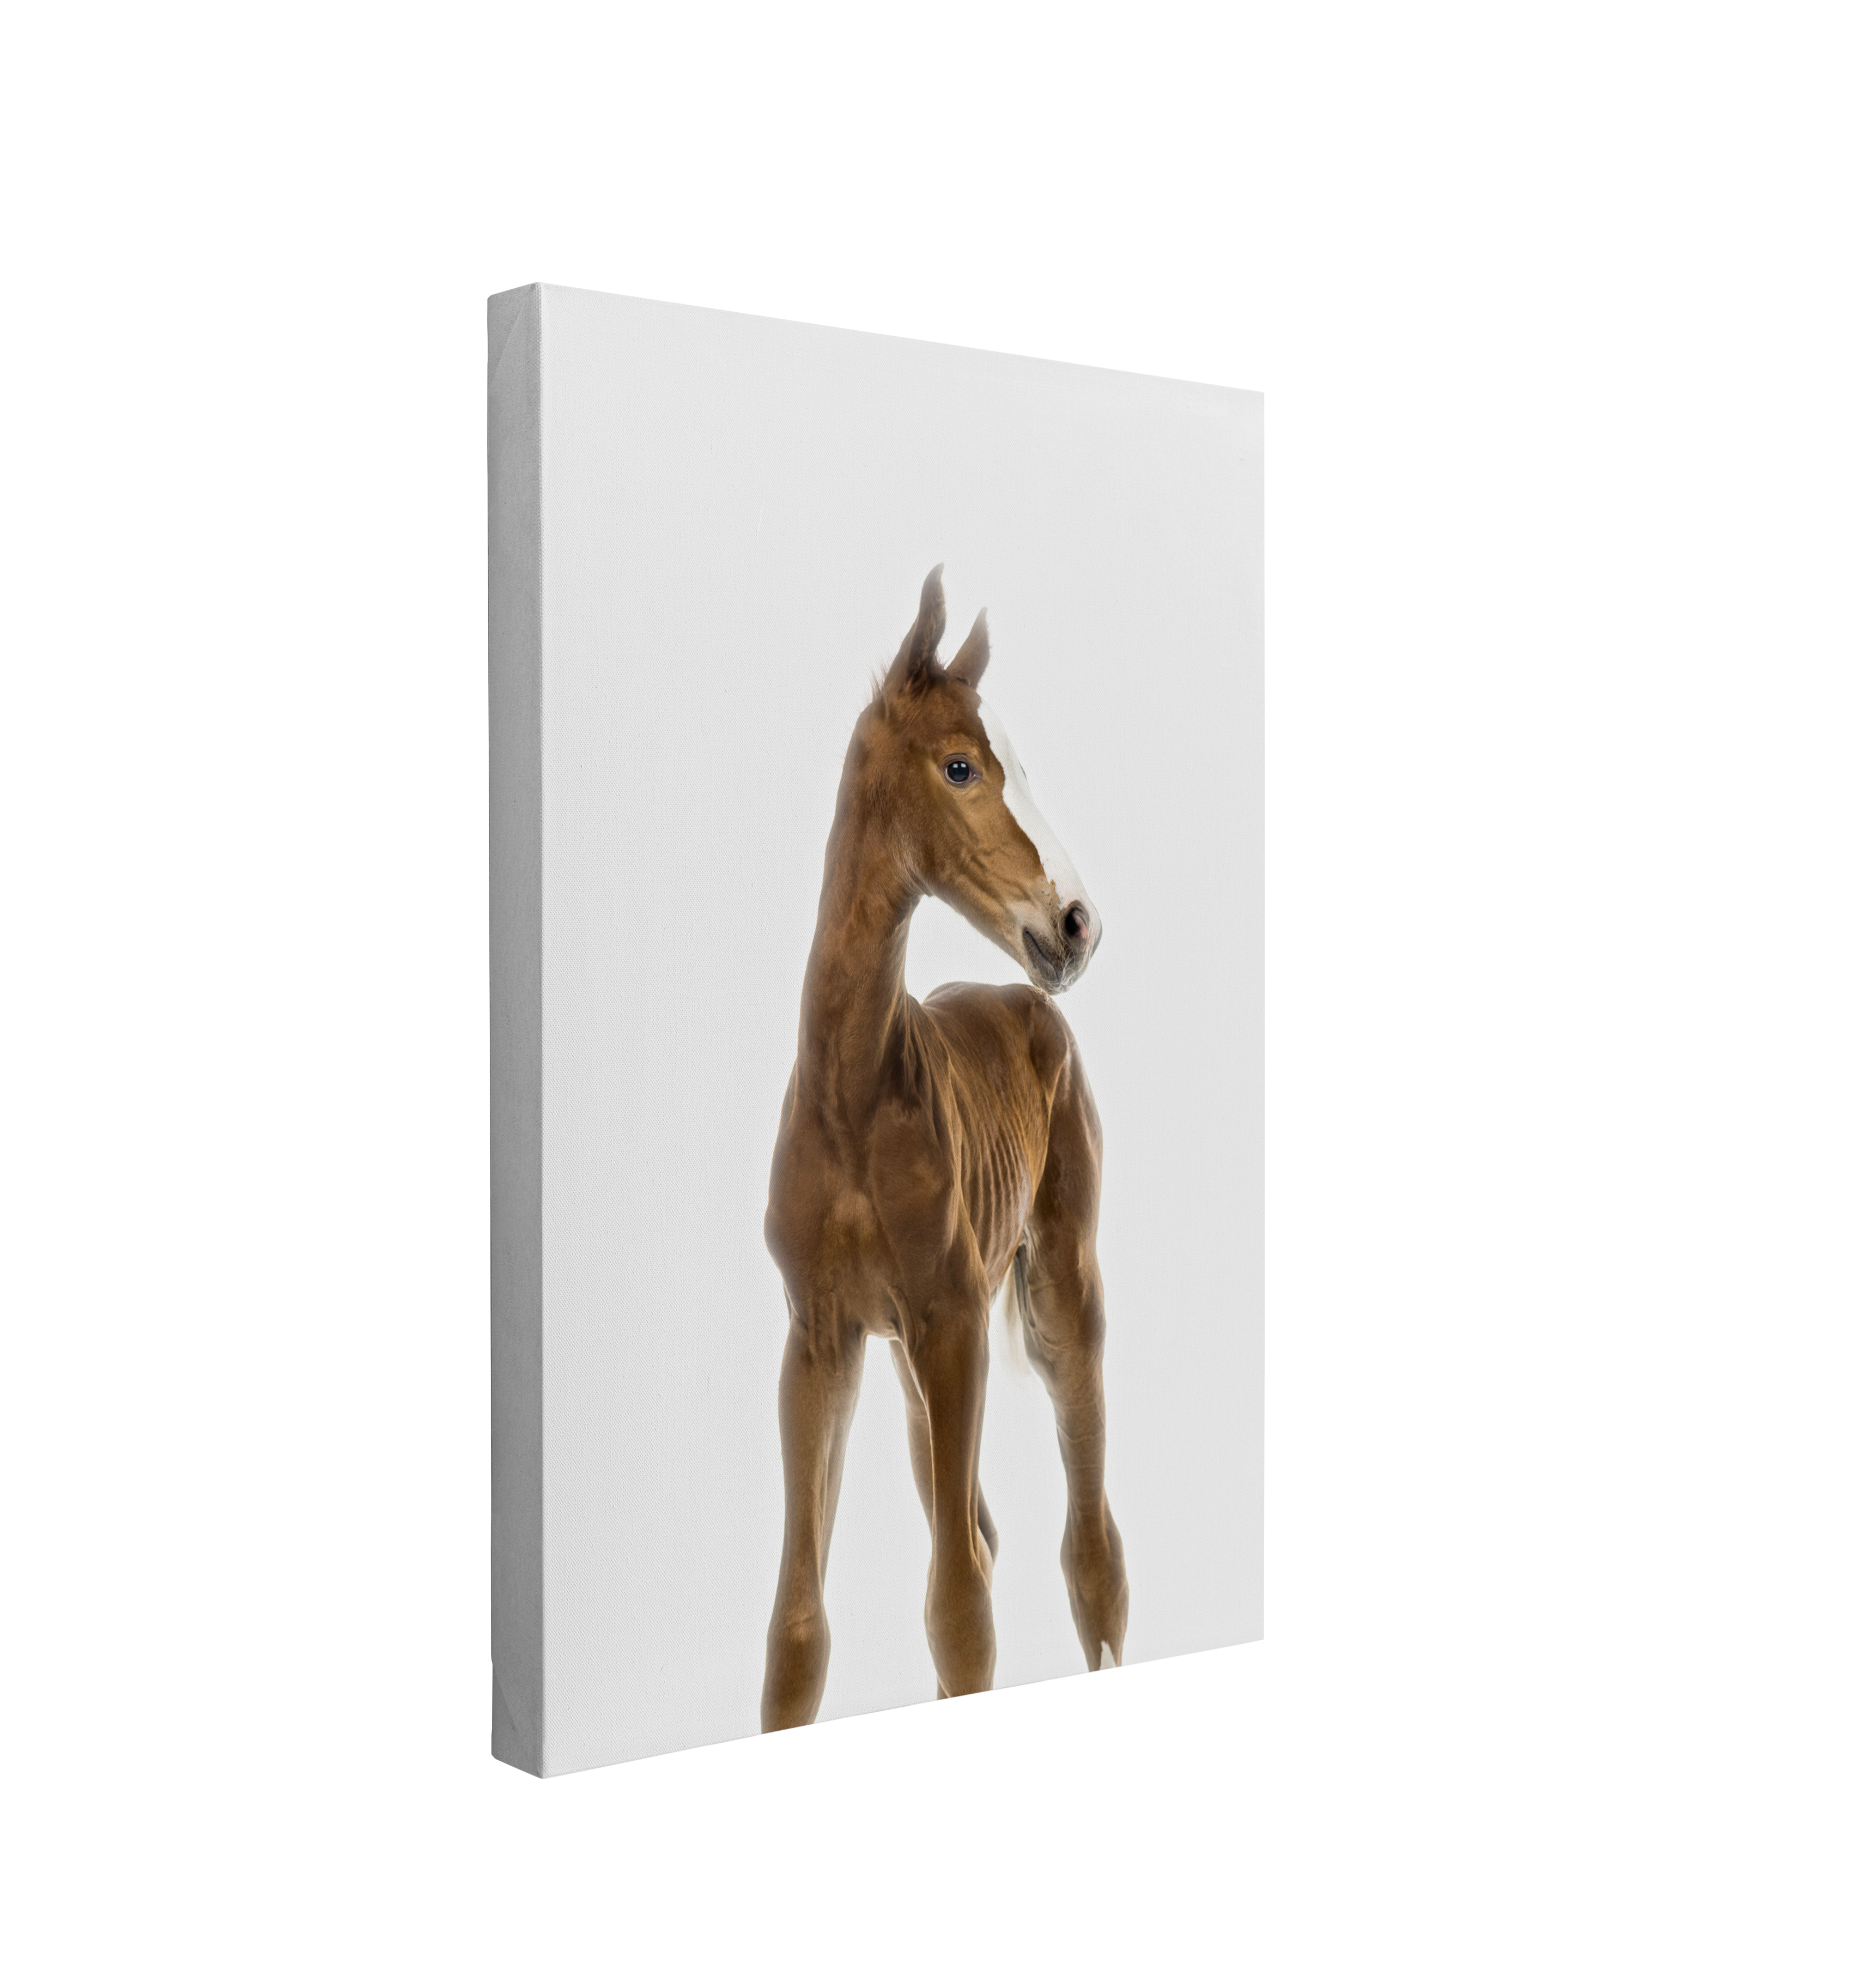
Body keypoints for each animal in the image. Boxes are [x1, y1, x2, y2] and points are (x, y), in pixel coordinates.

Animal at [760, 565, 1128, 1732]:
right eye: (960, 765)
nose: (1075, 923)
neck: (853, 1097)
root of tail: (1022, 1001)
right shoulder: (819, 1337)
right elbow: (799, 1631)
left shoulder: (955, 1319)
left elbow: (960, 1612)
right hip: (914, 1361)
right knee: (980, 1532)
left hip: (1057, 1295)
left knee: (1088, 1550)